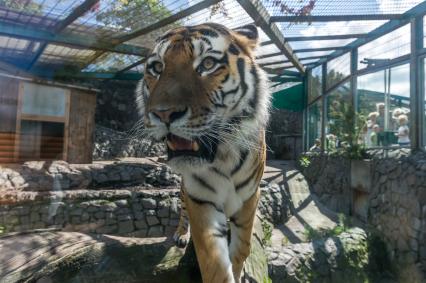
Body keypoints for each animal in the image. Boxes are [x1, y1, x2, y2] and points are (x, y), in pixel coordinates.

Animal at [136, 22, 270, 283]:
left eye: (207, 64)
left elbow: (243, 247)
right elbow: (213, 262)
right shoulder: (200, 198)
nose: (164, 113)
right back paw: (181, 235)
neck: (224, 157)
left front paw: (238, 269)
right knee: (182, 213)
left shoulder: (250, 196)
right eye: (157, 67)